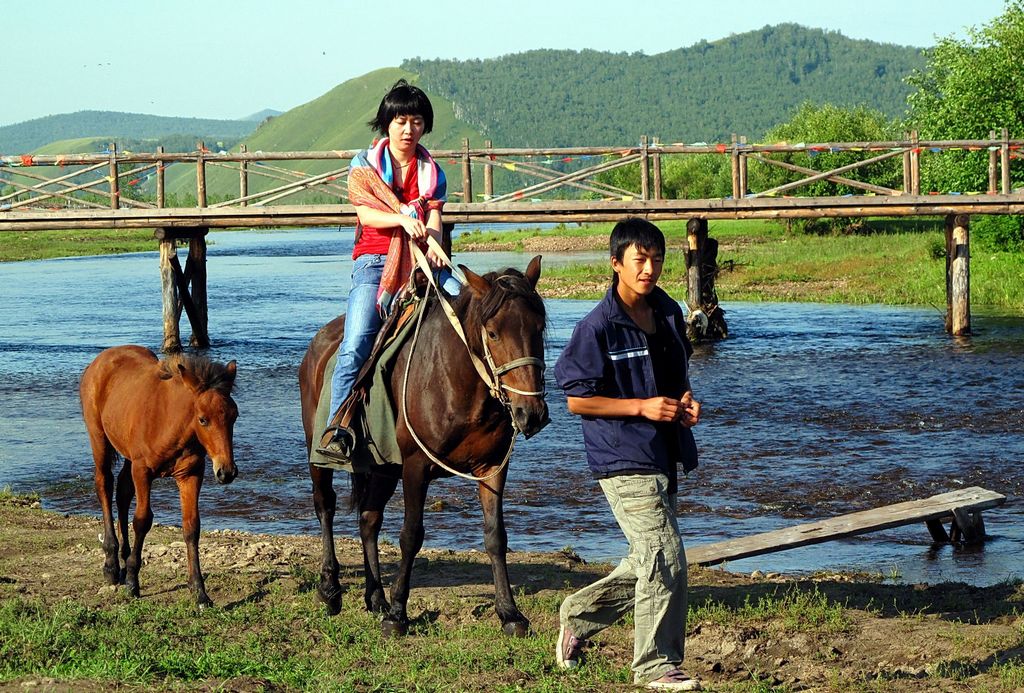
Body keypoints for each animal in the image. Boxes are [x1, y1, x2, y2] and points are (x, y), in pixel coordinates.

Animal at [79, 345, 237, 605]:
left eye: (234, 416)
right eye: (203, 419)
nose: (227, 472)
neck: (170, 423)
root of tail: (102, 358)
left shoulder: (191, 474)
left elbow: (192, 527)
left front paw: (199, 592)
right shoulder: (143, 471)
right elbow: (142, 520)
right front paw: (133, 582)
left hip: (127, 455)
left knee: (122, 491)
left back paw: (123, 560)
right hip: (99, 438)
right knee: (104, 484)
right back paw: (112, 565)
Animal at [299, 256, 548, 634]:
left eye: (538, 329)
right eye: (493, 333)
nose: (530, 413)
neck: (456, 382)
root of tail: (318, 344)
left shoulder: (493, 468)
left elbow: (496, 536)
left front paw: (510, 613)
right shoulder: (416, 466)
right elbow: (411, 535)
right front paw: (398, 614)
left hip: (384, 468)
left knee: (369, 520)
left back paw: (375, 597)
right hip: (319, 454)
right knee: (325, 506)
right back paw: (331, 588)